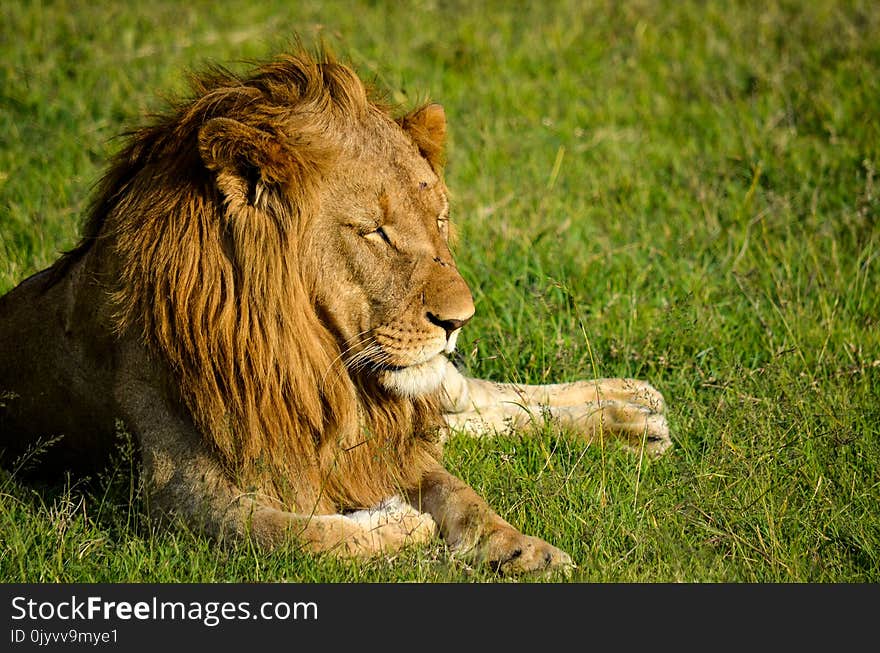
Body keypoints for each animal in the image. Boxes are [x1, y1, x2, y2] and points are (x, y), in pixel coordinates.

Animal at [0, 49, 672, 572]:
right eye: (374, 231)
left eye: (440, 220)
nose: (460, 320)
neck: (313, 361)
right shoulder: (172, 490)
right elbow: (293, 535)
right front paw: (400, 524)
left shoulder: (380, 439)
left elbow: (459, 493)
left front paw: (517, 547)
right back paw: (634, 419)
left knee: (484, 400)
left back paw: (632, 410)